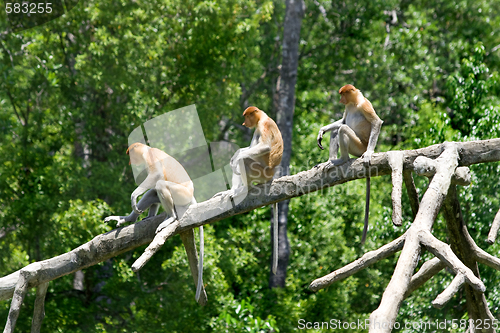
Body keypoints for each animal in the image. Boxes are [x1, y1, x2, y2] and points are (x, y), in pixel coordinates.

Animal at [104, 143, 204, 300]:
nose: (130, 162)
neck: (147, 149)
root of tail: (191, 195)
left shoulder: (150, 157)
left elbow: (156, 175)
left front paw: (133, 196)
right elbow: (153, 187)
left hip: (181, 194)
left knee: (161, 184)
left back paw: (170, 217)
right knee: (153, 192)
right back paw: (128, 218)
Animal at [221, 105, 284, 272]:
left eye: (247, 116)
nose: (244, 123)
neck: (263, 117)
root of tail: (272, 176)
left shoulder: (263, 126)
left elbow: (264, 146)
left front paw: (236, 158)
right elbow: (246, 148)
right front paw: (235, 154)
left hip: (261, 172)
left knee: (245, 160)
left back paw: (245, 189)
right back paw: (233, 190)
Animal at [316, 84, 382, 243]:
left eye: (343, 94)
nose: (341, 100)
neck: (353, 103)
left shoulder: (365, 105)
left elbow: (376, 122)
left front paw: (369, 153)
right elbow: (343, 120)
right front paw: (322, 130)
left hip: (358, 146)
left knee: (343, 129)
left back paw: (342, 159)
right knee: (337, 129)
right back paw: (330, 161)